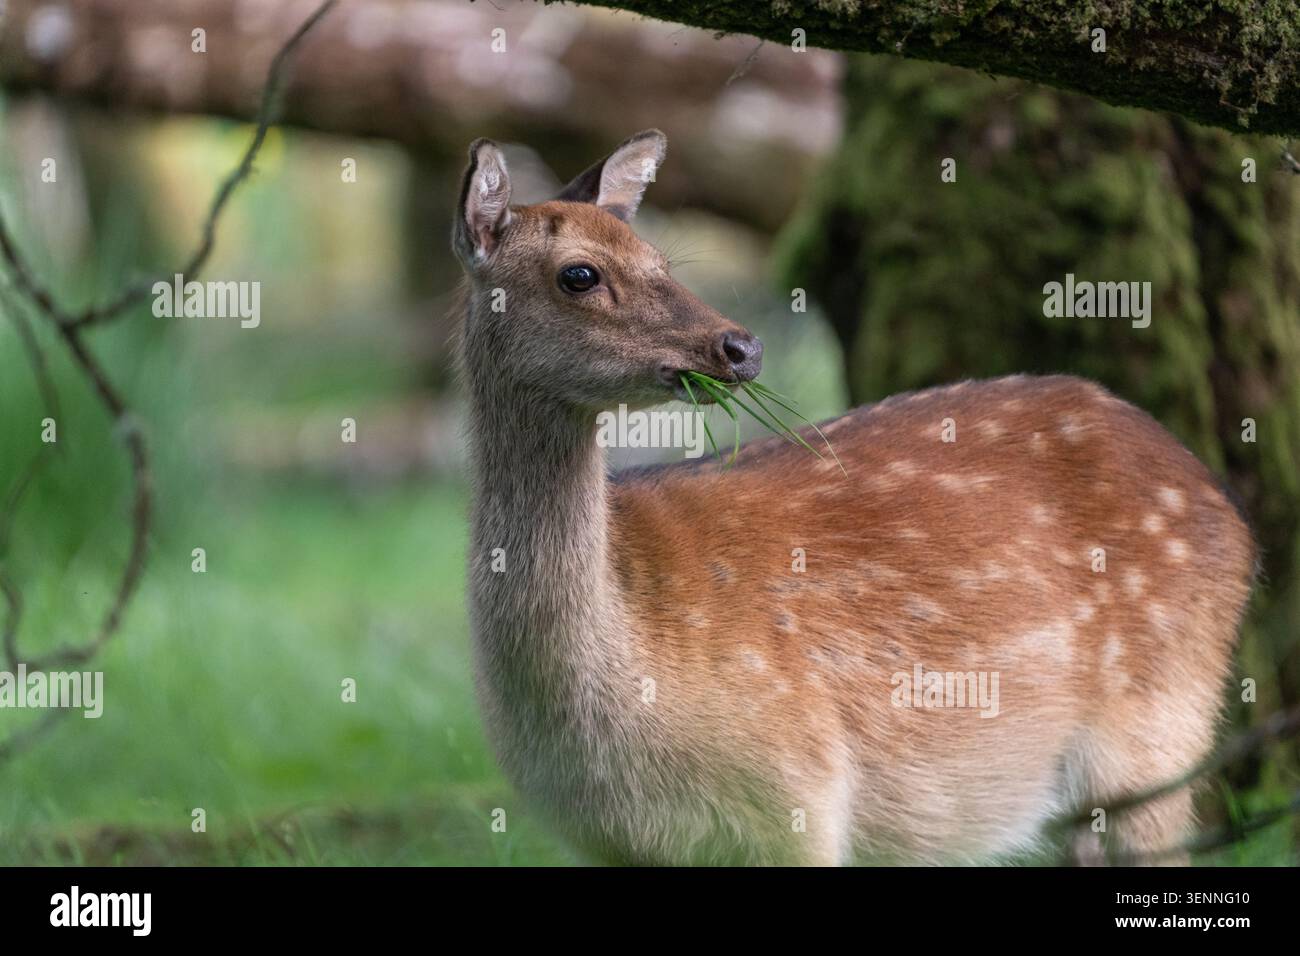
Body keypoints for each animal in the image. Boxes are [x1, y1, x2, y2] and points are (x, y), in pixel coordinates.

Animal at [451, 129, 1257, 866]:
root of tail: (1226, 505)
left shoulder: (800, 790)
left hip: (1160, 727)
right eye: (579, 274)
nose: (740, 347)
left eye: (661, 261)